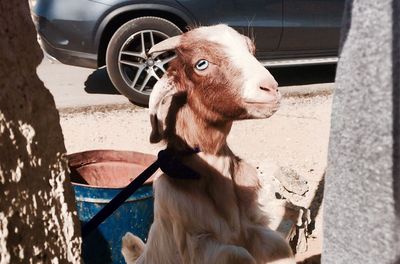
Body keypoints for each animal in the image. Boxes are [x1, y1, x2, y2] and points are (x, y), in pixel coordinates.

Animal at [123, 24, 296, 264]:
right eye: (201, 64)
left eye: (251, 50)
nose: (270, 88)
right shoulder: (198, 243)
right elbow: (236, 254)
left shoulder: (254, 228)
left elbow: (278, 247)